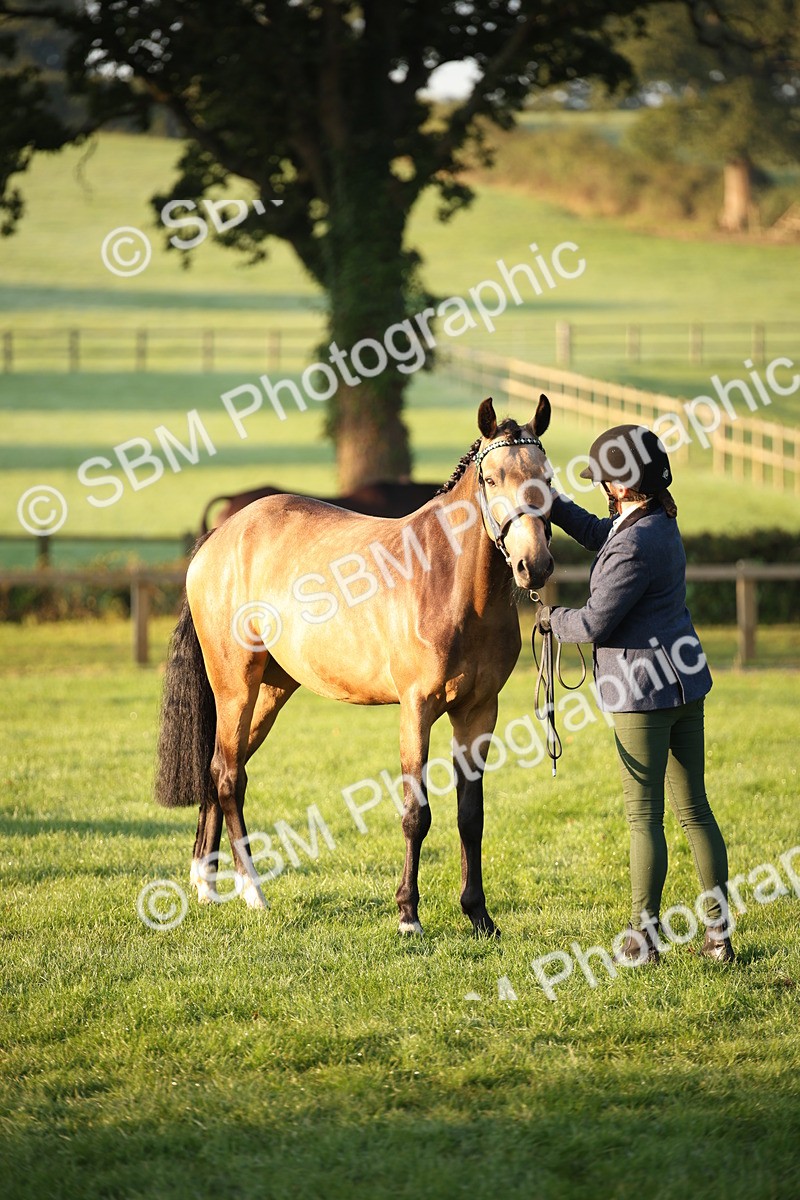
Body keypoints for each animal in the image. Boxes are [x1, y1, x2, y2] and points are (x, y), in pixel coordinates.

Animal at [155, 394, 554, 936]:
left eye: (547, 476)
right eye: (492, 479)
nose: (535, 565)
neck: (448, 582)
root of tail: (220, 536)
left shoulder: (478, 712)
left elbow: (470, 817)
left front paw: (479, 916)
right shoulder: (416, 710)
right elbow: (416, 813)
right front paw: (408, 914)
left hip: (269, 693)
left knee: (218, 766)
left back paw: (205, 883)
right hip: (236, 687)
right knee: (228, 777)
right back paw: (252, 892)